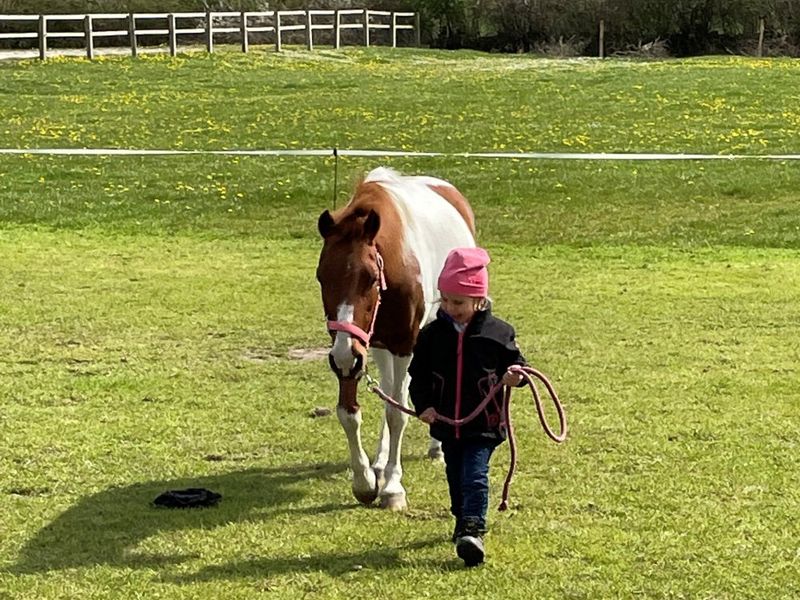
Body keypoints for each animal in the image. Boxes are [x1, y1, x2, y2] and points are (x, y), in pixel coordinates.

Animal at [314, 166, 476, 508]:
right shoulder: (356, 349)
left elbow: (397, 412)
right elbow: (349, 412)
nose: (344, 353)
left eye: (370, 277)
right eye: (321, 276)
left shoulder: (403, 344)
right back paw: (379, 461)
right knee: (388, 387)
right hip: (376, 346)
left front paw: (392, 487)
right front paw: (366, 480)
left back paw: (435, 448)